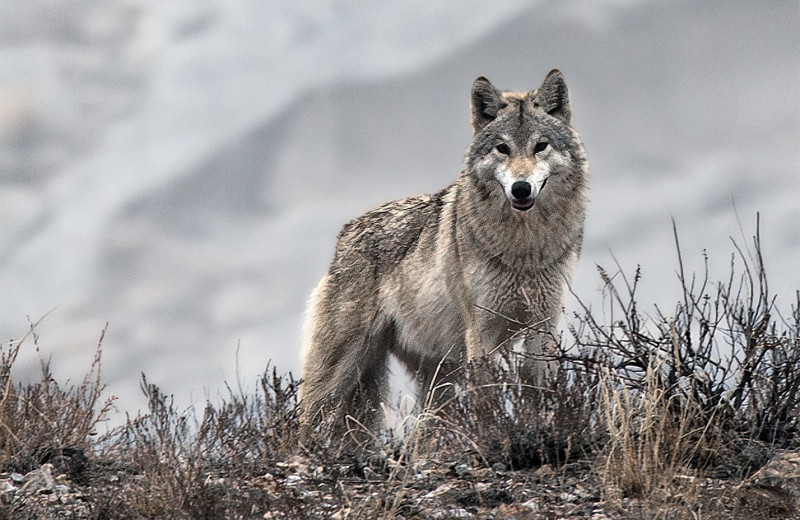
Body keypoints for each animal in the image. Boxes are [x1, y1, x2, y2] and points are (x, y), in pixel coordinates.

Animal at [299, 70, 588, 432]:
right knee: (298, 424)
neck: (523, 249)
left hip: (437, 380)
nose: (521, 188)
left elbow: (543, 395)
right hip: (335, 377)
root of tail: (346, 231)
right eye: (502, 148)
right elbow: (487, 401)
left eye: (541, 146)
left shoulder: (543, 326)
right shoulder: (481, 332)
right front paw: (492, 434)